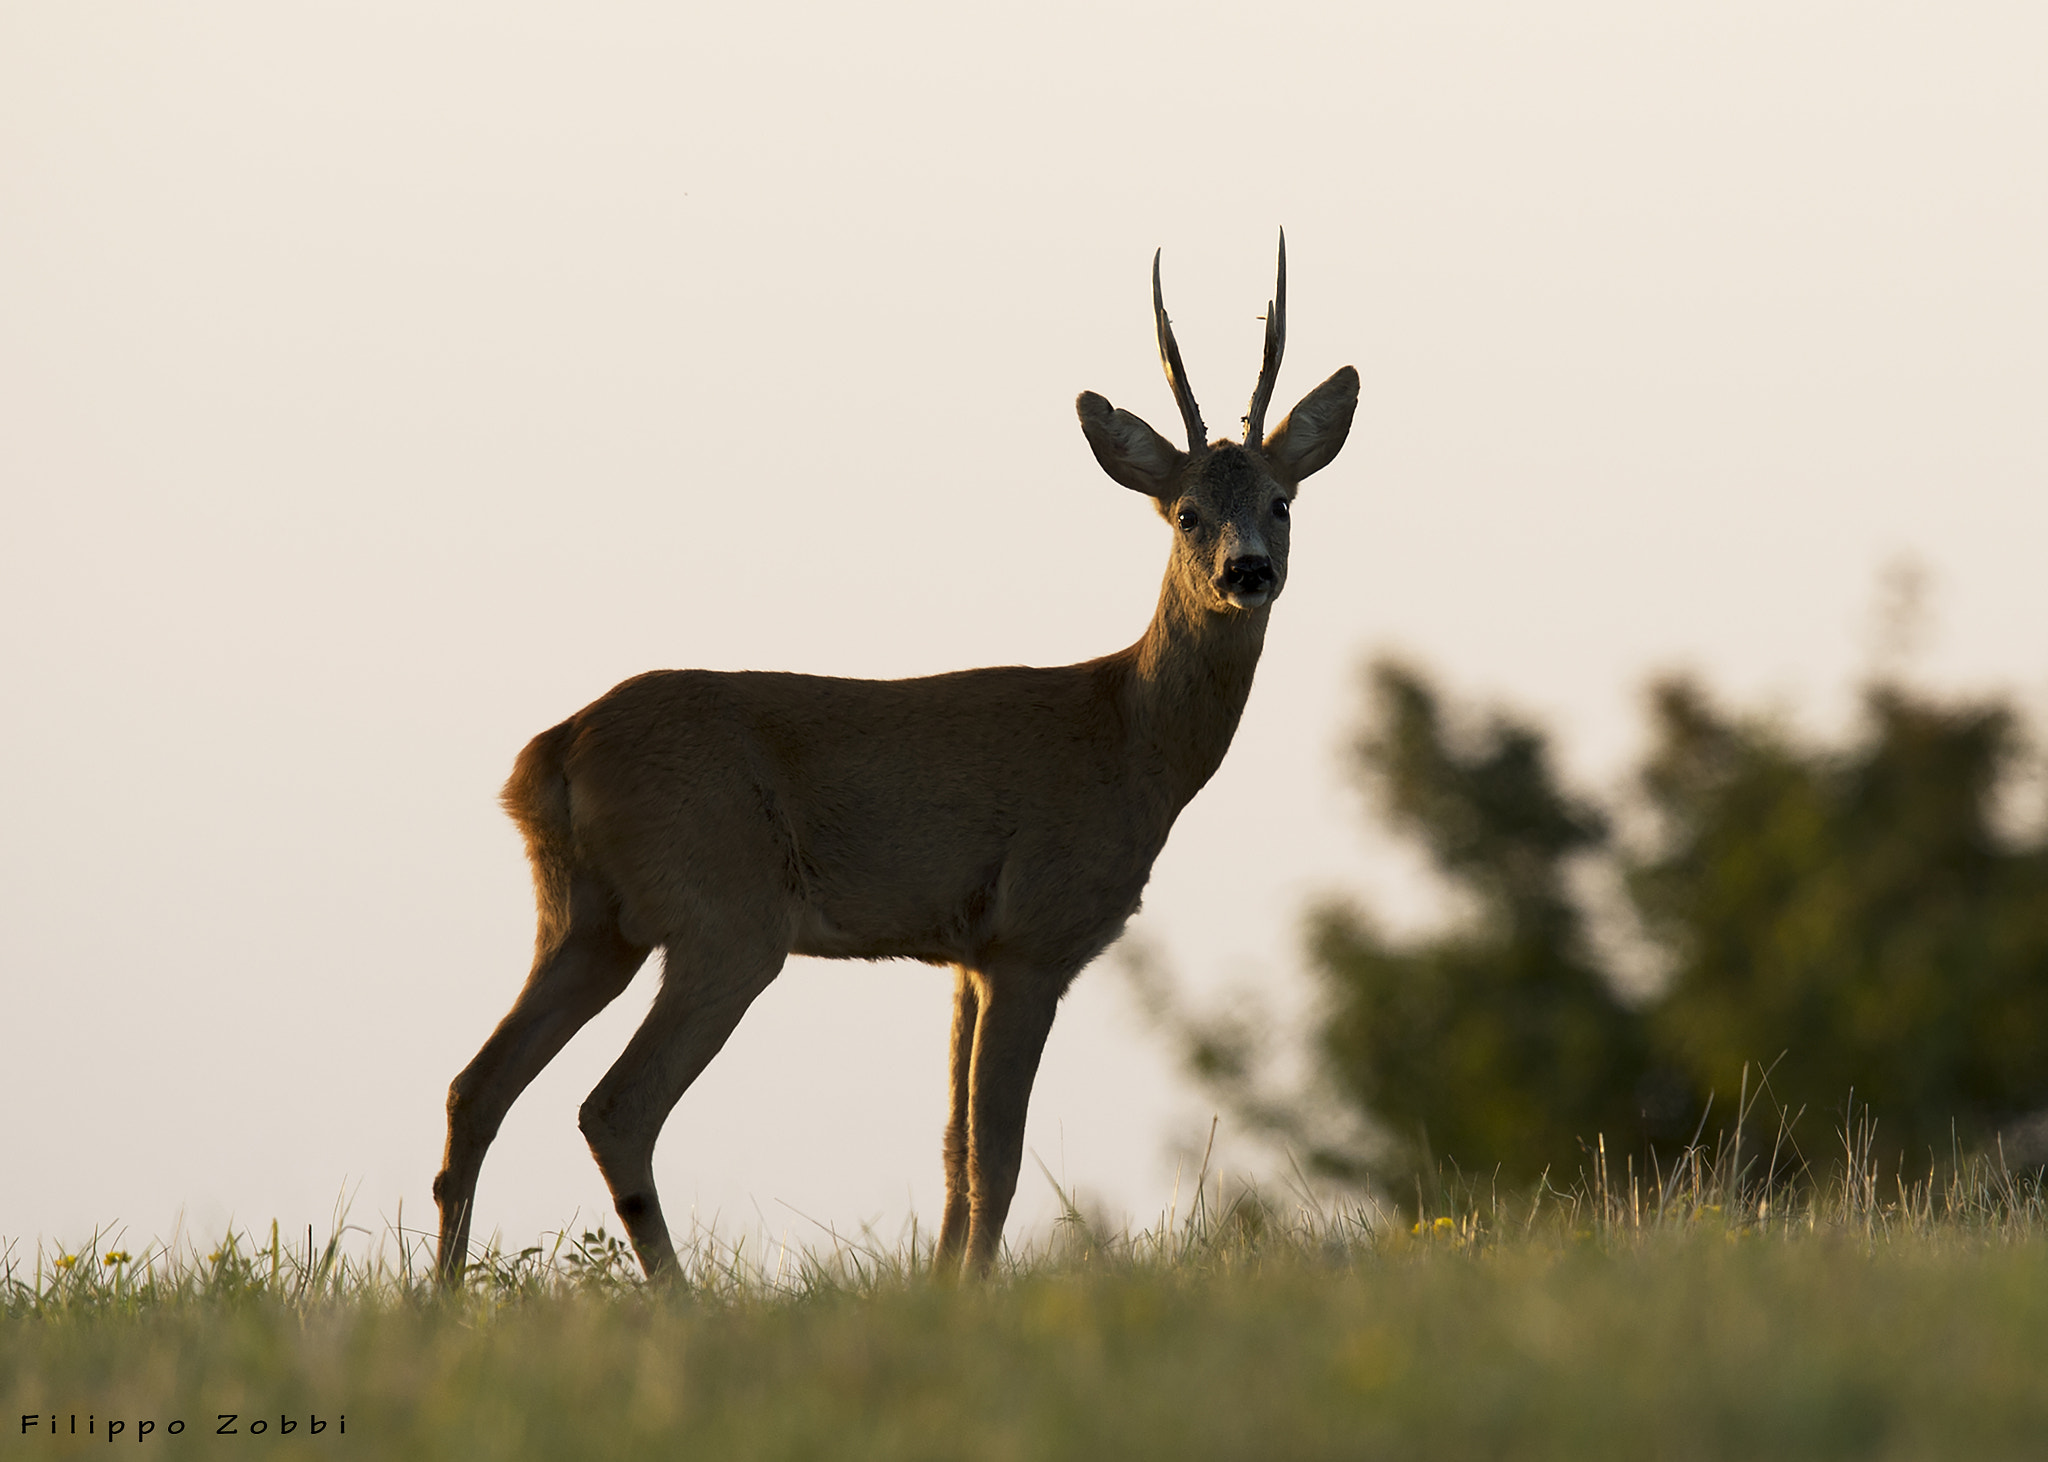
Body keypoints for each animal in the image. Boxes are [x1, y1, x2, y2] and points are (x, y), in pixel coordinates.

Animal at [434, 230, 1359, 1277]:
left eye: (1283, 502)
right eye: (1186, 512)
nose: (1249, 571)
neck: (1127, 736)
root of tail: (549, 753)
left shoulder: (964, 953)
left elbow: (953, 1154)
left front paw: (944, 1286)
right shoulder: (1033, 936)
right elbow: (997, 1156)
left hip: (589, 920)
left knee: (476, 1084)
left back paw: (445, 1294)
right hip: (724, 913)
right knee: (615, 1106)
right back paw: (678, 1297)